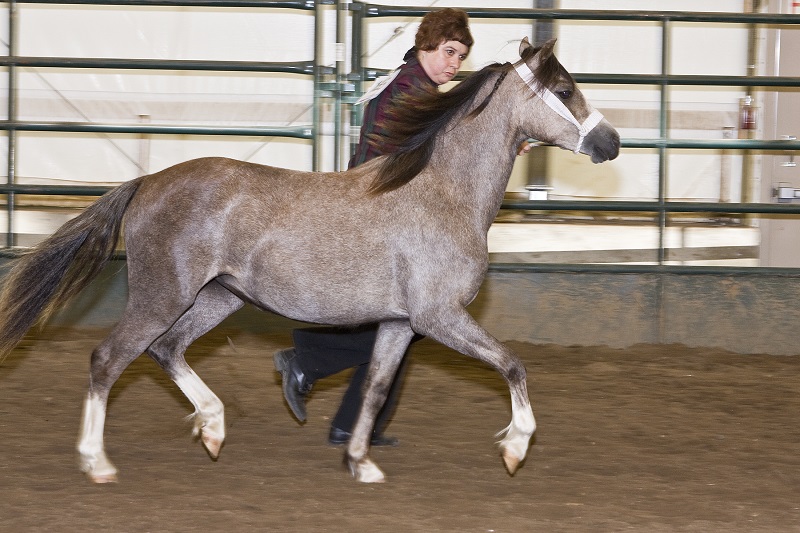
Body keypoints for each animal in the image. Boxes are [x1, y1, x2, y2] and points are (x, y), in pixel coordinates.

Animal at [0, 38, 619, 484]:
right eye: (564, 88)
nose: (610, 143)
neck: (444, 193)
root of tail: (149, 181)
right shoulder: (438, 317)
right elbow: (513, 365)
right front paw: (515, 448)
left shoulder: (399, 324)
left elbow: (375, 388)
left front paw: (362, 464)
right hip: (163, 295)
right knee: (109, 359)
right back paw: (98, 462)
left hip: (218, 297)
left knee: (166, 350)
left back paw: (214, 427)